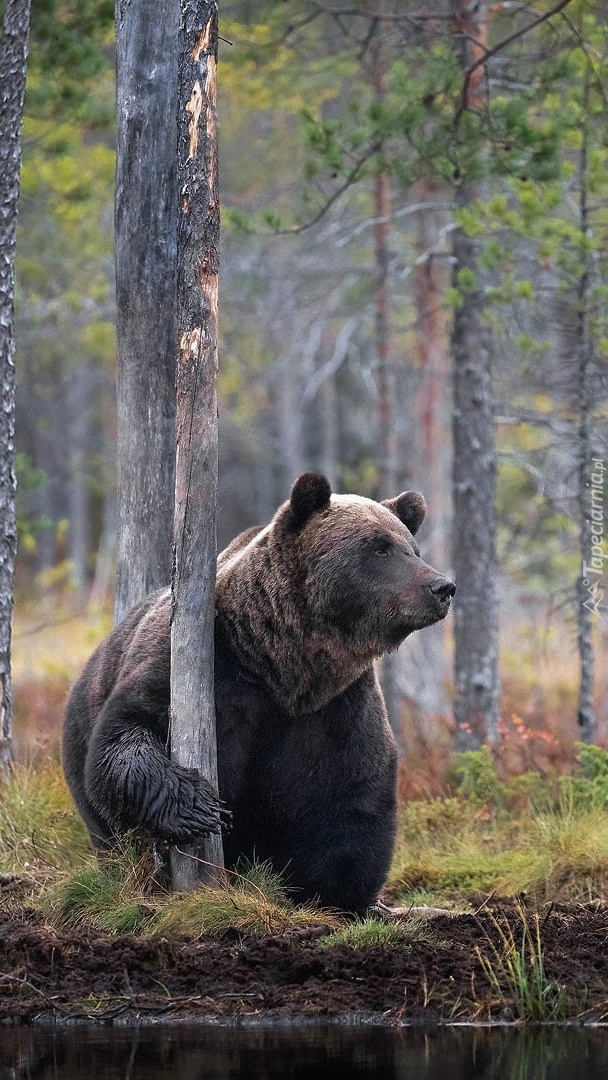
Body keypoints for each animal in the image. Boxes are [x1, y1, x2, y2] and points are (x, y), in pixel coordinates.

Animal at [64, 473, 453, 911]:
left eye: (412, 547)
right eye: (380, 547)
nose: (442, 586)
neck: (281, 664)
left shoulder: (335, 706)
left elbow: (352, 794)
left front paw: (341, 892)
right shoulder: (205, 664)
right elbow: (126, 732)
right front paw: (198, 806)